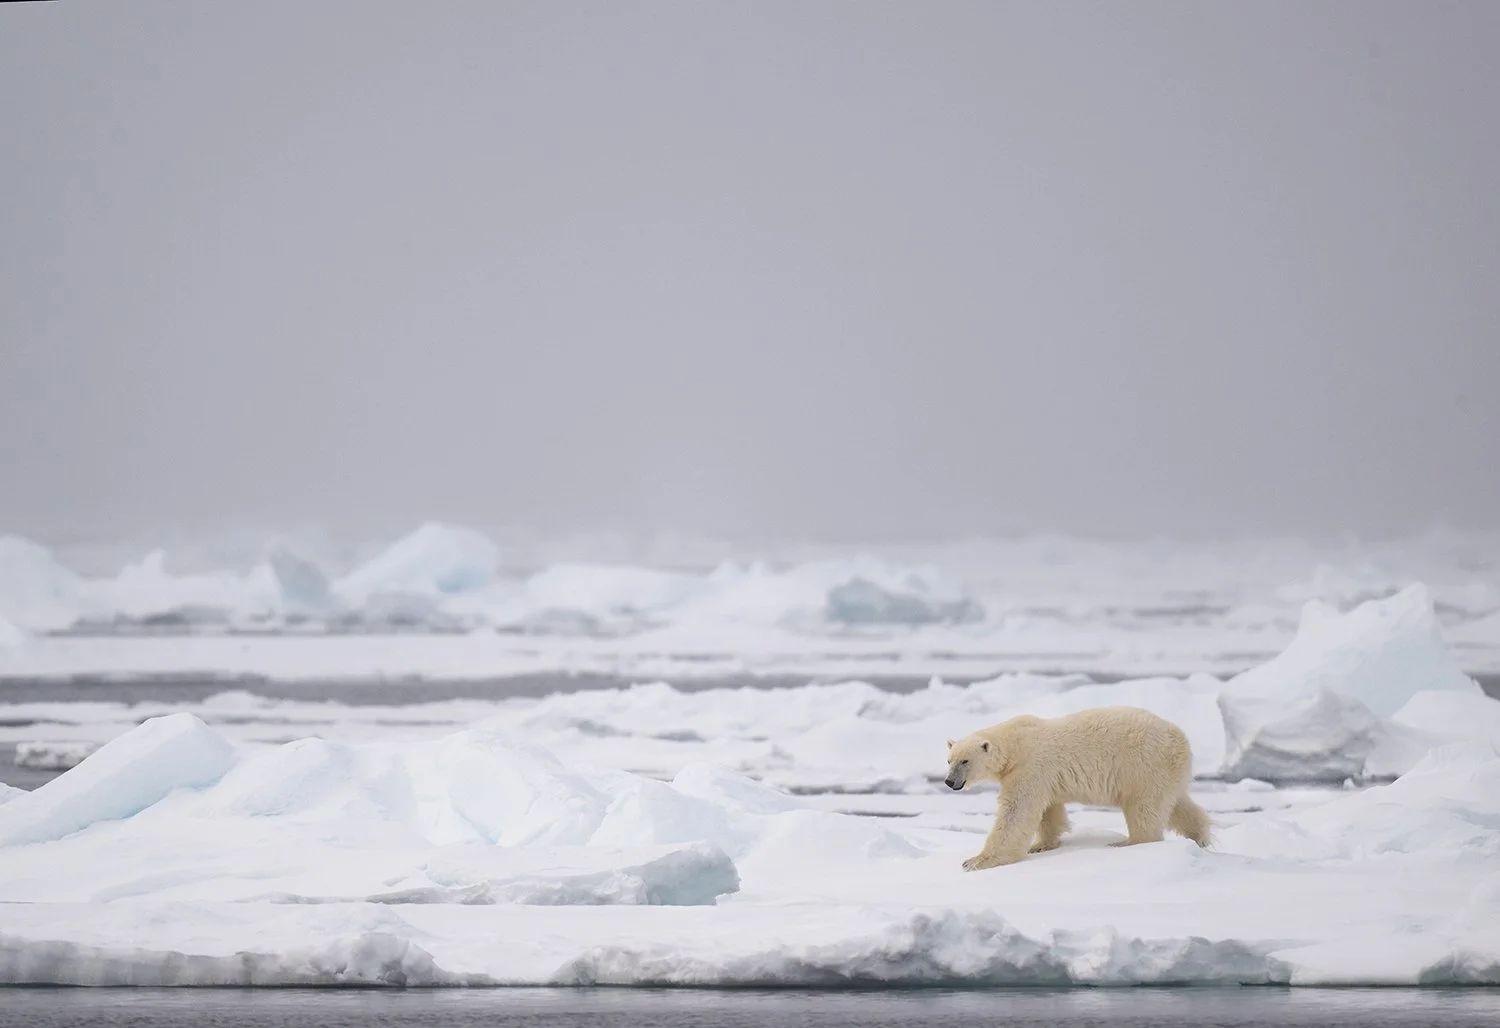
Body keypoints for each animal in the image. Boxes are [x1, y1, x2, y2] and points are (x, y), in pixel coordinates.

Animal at [943, 705, 1212, 871]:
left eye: (965, 761)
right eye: (949, 760)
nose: (949, 782)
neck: (1015, 745)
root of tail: (1181, 739)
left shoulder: (1029, 768)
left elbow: (1016, 812)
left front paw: (976, 861)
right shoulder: (1042, 777)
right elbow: (1049, 810)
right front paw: (1041, 845)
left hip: (1144, 765)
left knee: (1144, 807)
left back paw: (1127, 843)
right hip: (1165, 771)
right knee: (1176, 804)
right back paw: (1201, 837)